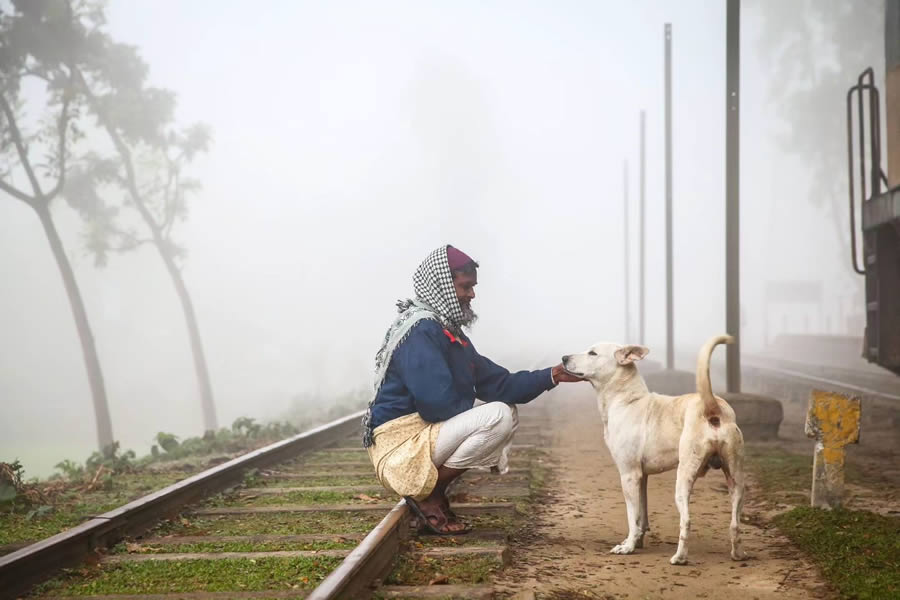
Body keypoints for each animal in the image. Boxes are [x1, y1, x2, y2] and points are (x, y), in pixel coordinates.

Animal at [564, 336, 744, 564]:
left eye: (592, 353)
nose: (563, 358)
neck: (626, 400)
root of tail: (712, 407)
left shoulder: (629, 475)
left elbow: (632, 516)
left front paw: (628, 547)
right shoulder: (642, 477)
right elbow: (642, 514)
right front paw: (636, 541)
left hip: (684, 477)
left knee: (686, 520)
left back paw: (679, 557)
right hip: (735, 479)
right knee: (735, 523)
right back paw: (738, 554)